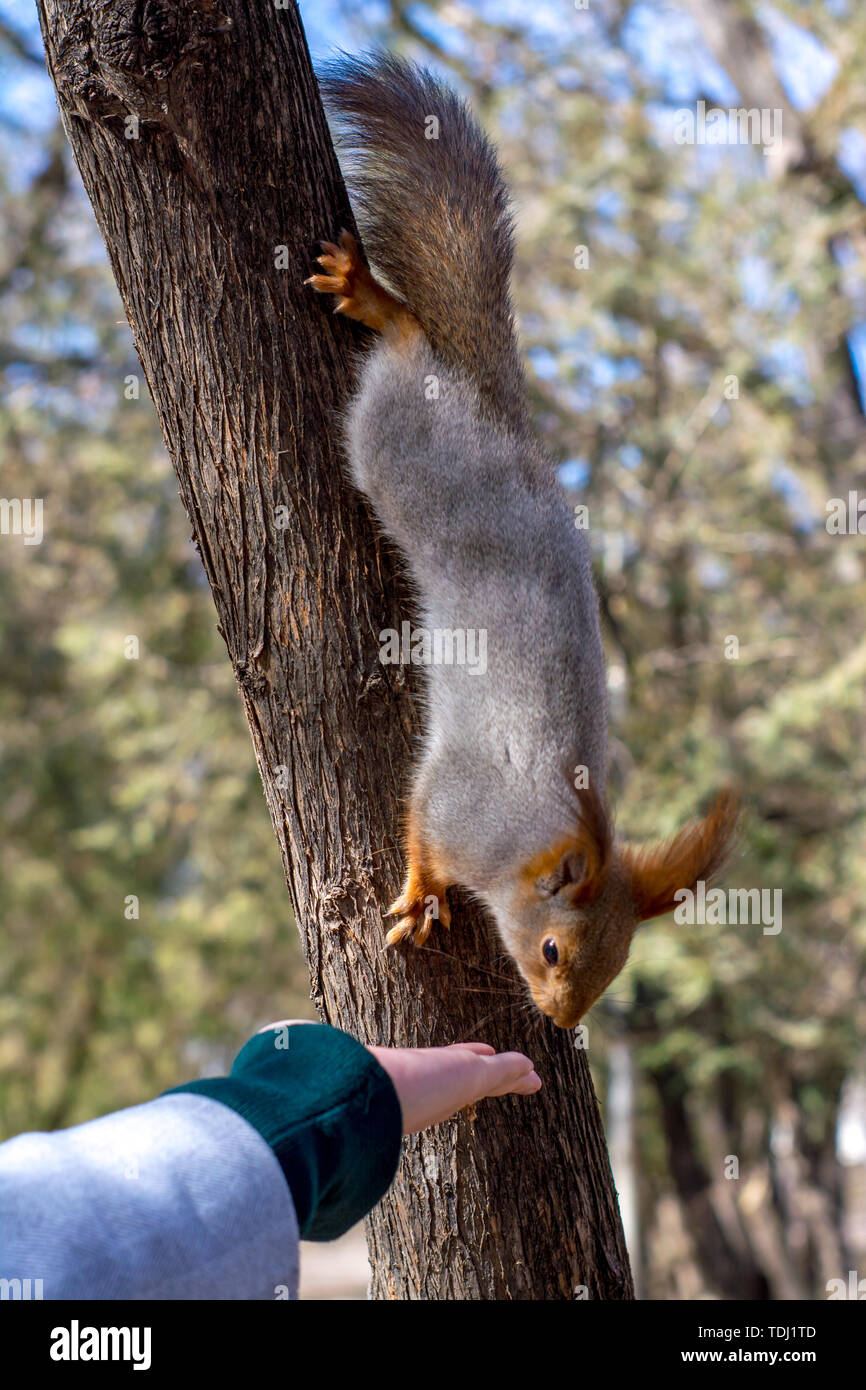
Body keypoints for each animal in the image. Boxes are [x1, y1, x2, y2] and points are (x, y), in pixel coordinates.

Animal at [307, 54, 739, 1028]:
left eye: (613, 969)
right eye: (551, 950)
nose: (561, 1022)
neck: (527, 844)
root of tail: (509, 436)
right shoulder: (459, 803)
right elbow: (420, 831)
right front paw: (422, 896)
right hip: (401, 449)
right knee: (406, 352)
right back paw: (379, 306)